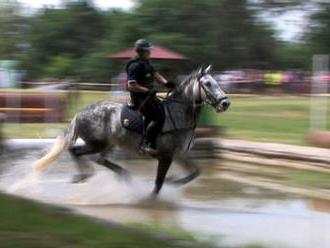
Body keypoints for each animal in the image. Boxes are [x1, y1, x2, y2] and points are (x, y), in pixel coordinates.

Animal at [32, 65, 229, 196]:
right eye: (207, 83)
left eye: (216, 81)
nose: (225, 103)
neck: (178, 113)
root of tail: (79, 114)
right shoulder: (165, 156)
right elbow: (159, 183)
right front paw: (152, 199)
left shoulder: (179, 155)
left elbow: (195, 173)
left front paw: (174, 181)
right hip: (98, 143)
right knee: (77, 152)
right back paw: (85, 175)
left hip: (108, 144)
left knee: (97, 158)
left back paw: (112, 174)